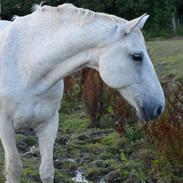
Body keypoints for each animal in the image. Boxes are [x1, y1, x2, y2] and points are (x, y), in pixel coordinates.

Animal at [0, 3, 165, 183]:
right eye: (137, 56)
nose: (159, 107)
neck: (26, 65)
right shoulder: (5, 125)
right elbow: (14, 168)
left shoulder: (49, 124)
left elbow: (46, 170)